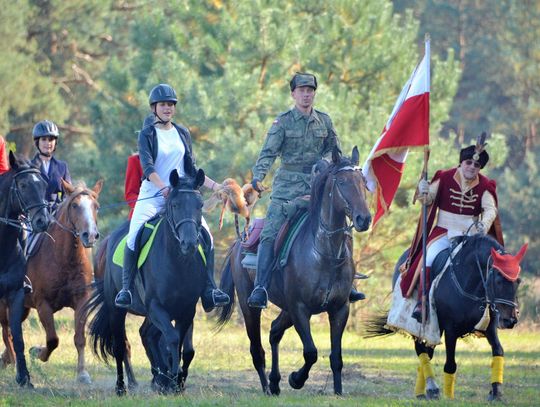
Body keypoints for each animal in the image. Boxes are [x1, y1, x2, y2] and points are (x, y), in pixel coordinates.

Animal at [0, 178, 103, 382]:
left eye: (96, 206)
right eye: (74, 205)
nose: (90, 235)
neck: (65, 258)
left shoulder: (82, 301)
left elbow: (79, 338)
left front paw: (82, 374)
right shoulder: (43, 305)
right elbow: (53, 340)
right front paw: (37, 352)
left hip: (22, 307)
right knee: (6, 332)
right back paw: (14, 363)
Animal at [87, 167, 208, 396]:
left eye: (200, 205)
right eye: (175, 205)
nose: (189, 243)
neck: (177, 263)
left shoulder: (186, 309)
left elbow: (184, 347)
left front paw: (175, 381)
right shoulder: (156, 307)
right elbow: (172, 339)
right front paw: (171, 380)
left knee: (147, 334)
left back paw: (159, 377)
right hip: (117, 310)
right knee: (120, 346)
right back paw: (122, 387)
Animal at [217, 148, 370, 396]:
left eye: (363, 182)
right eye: (342, 182)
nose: (363, 219)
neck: (325, 254)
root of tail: (240, 242)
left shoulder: (339, 309)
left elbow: (336, 357)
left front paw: (338, 391)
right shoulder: (300, 309)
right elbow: (311, 352)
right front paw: (296, 379)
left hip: (286, 309)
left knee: (274, 332)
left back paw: (274, 382)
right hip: (250, 307)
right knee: (257, 349)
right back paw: (267, 388)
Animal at [370, 234, 524, 404]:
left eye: (518, 281)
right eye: (498, 280)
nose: (511, 320)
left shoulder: (489, 328)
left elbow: (498, 351)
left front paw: (496, 392)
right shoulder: (451, 330)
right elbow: (450, 364)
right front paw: (449, 396)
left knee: (428, 352)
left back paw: (425, 390)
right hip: (420, 326)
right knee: (421, 351)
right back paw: (430, 389)